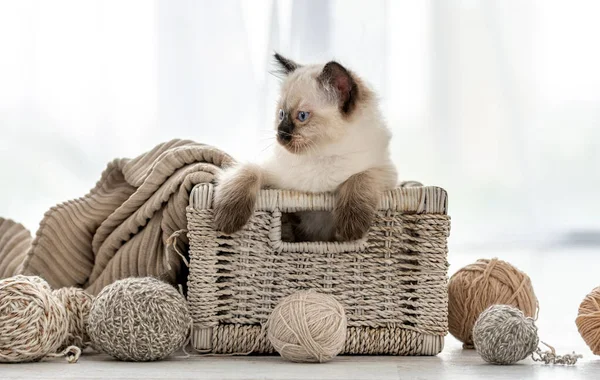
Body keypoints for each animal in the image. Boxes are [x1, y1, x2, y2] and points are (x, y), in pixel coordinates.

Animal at [212, 53, 398, 240]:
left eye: (302, 116)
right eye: (281, 114)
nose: (281, 134)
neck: (318, 156)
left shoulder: (384, 173)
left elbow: (361, 177)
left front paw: (351, 229)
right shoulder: (275, 177)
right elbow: (248, 170)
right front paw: (228, 221)